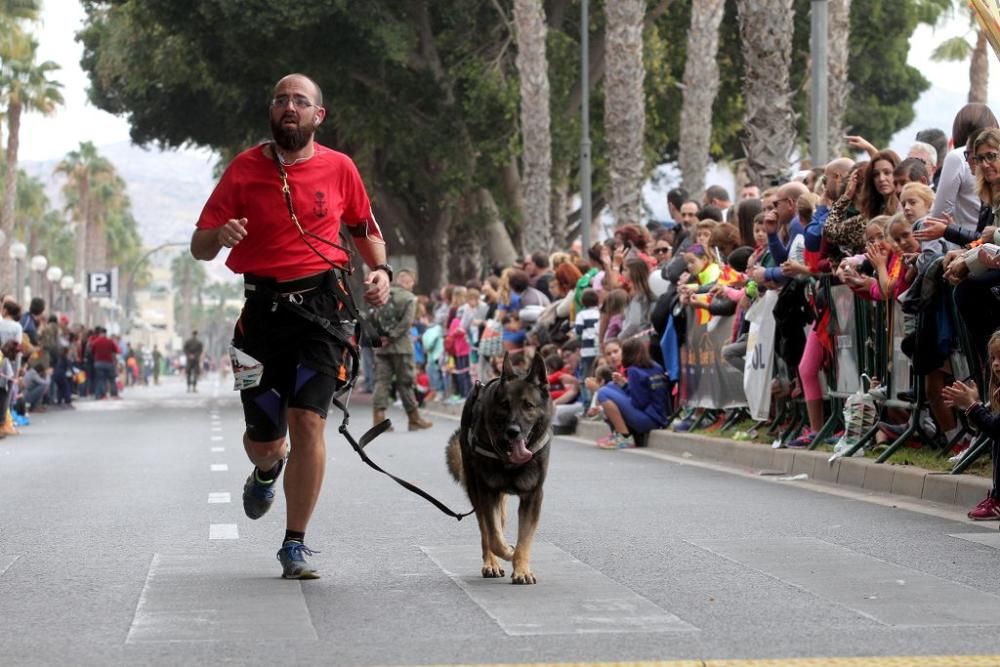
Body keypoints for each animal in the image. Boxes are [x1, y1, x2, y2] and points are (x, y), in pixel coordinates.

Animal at [448, 354, 556, 584]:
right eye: (505, 405)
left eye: (528, 405)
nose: (513, 432)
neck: (510, 460)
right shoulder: (487, 493)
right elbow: (494, 537)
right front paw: (508, 552)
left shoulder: (532, 497)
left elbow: (524, 539)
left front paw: (522, 569)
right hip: (477, 492)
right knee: (486, 532)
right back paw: (491, 564)